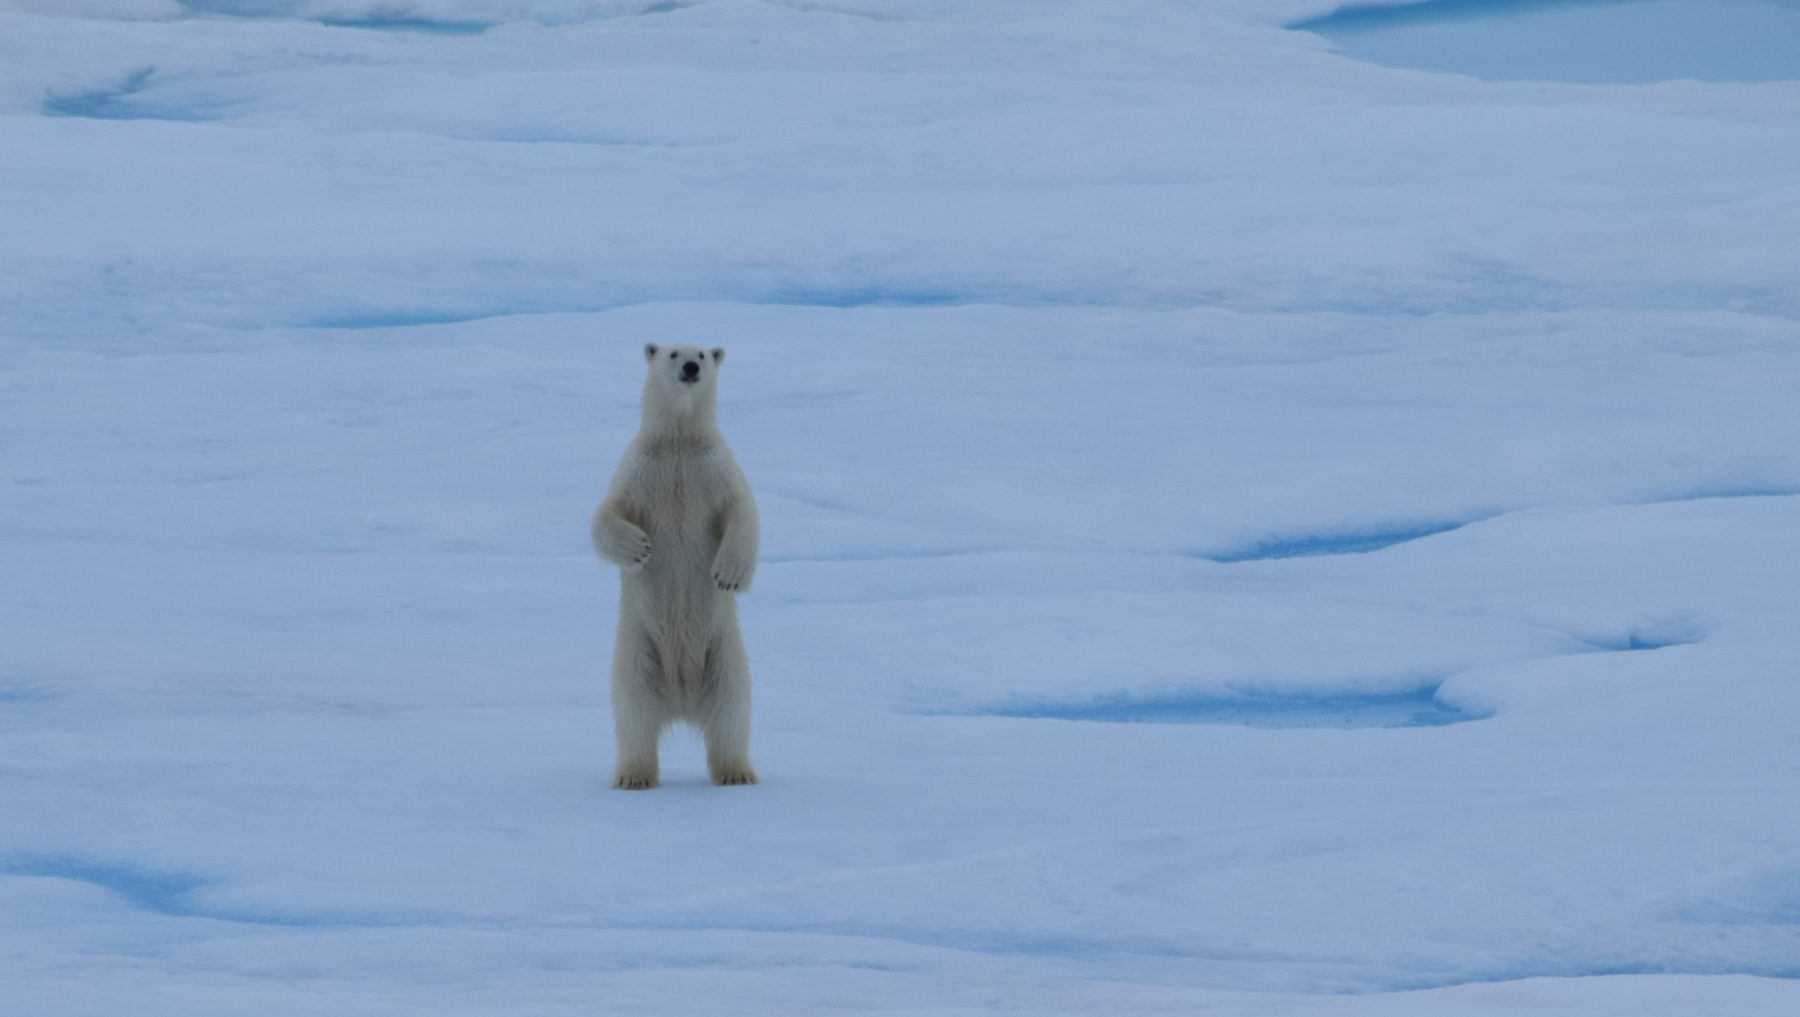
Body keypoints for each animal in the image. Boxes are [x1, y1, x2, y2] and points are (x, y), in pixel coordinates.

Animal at [590, 342, 760, 790]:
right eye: (672, 353)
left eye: (702, 353)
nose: (690, 368)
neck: (680, 440)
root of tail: (682, 700)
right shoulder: (637, 468)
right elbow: (605, 514)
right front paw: (637, 548)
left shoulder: (717, 466)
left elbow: (743, 511)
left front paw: (728, 574)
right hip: (636, 653)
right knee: (633, 713)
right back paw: (634, 776)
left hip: (724, 654)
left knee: (732, 710)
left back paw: (736, 772)